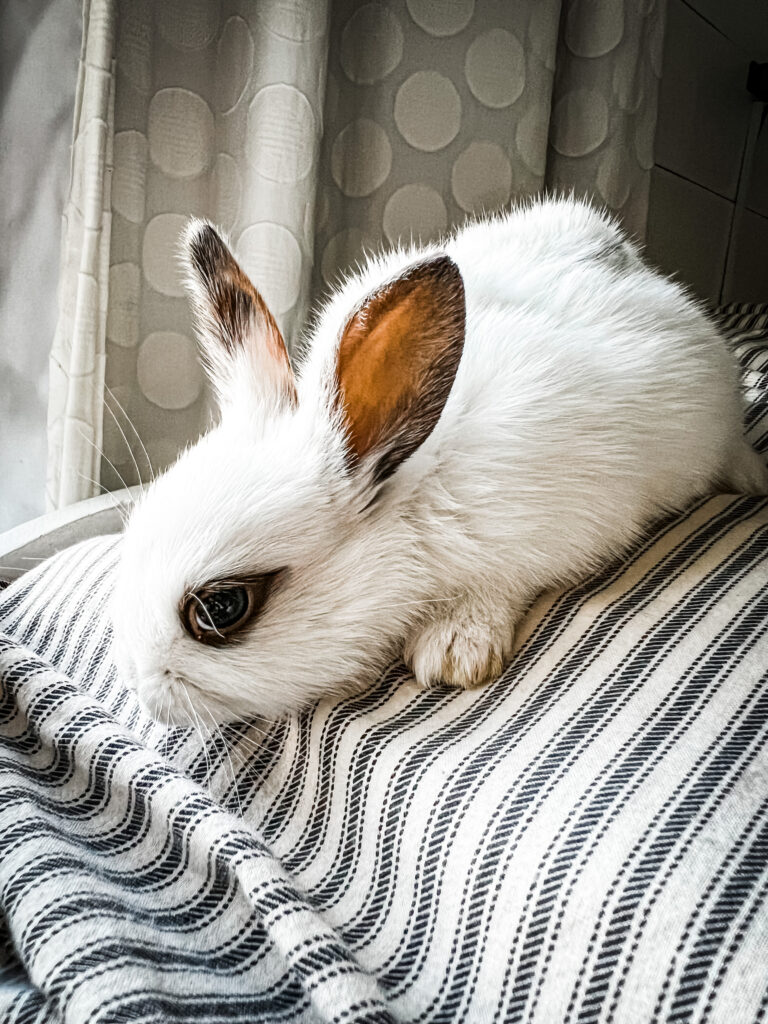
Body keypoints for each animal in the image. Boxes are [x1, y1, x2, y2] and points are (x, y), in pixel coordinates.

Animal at [111, 195, 765, 724]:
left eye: (223, 608)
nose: (143, 693)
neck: (411, 496)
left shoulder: (549, 531)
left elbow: (502, 583)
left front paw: (454, 651)